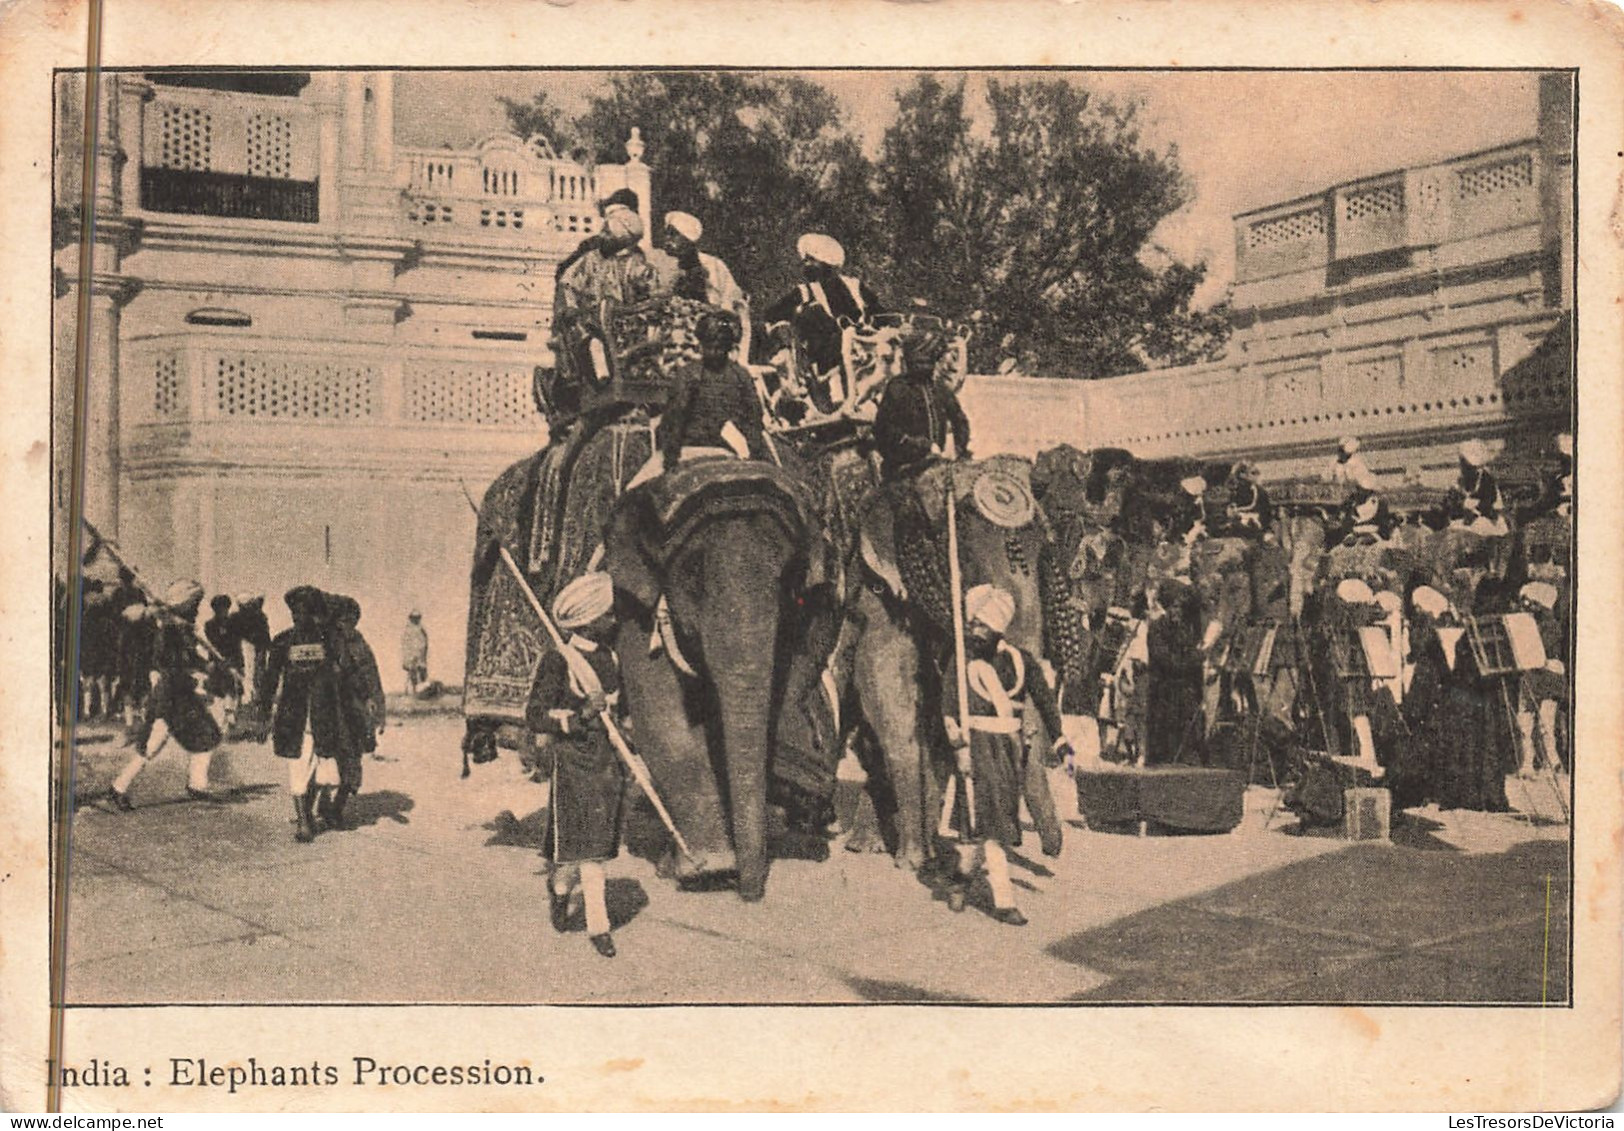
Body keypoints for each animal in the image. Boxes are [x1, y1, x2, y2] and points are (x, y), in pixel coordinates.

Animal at [604, 451, 844, 903]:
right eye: (693, 575)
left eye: (786, 579)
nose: (750, 894)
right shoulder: (635, 599)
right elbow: (663, 715)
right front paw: (710, 871)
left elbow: (793, 679)